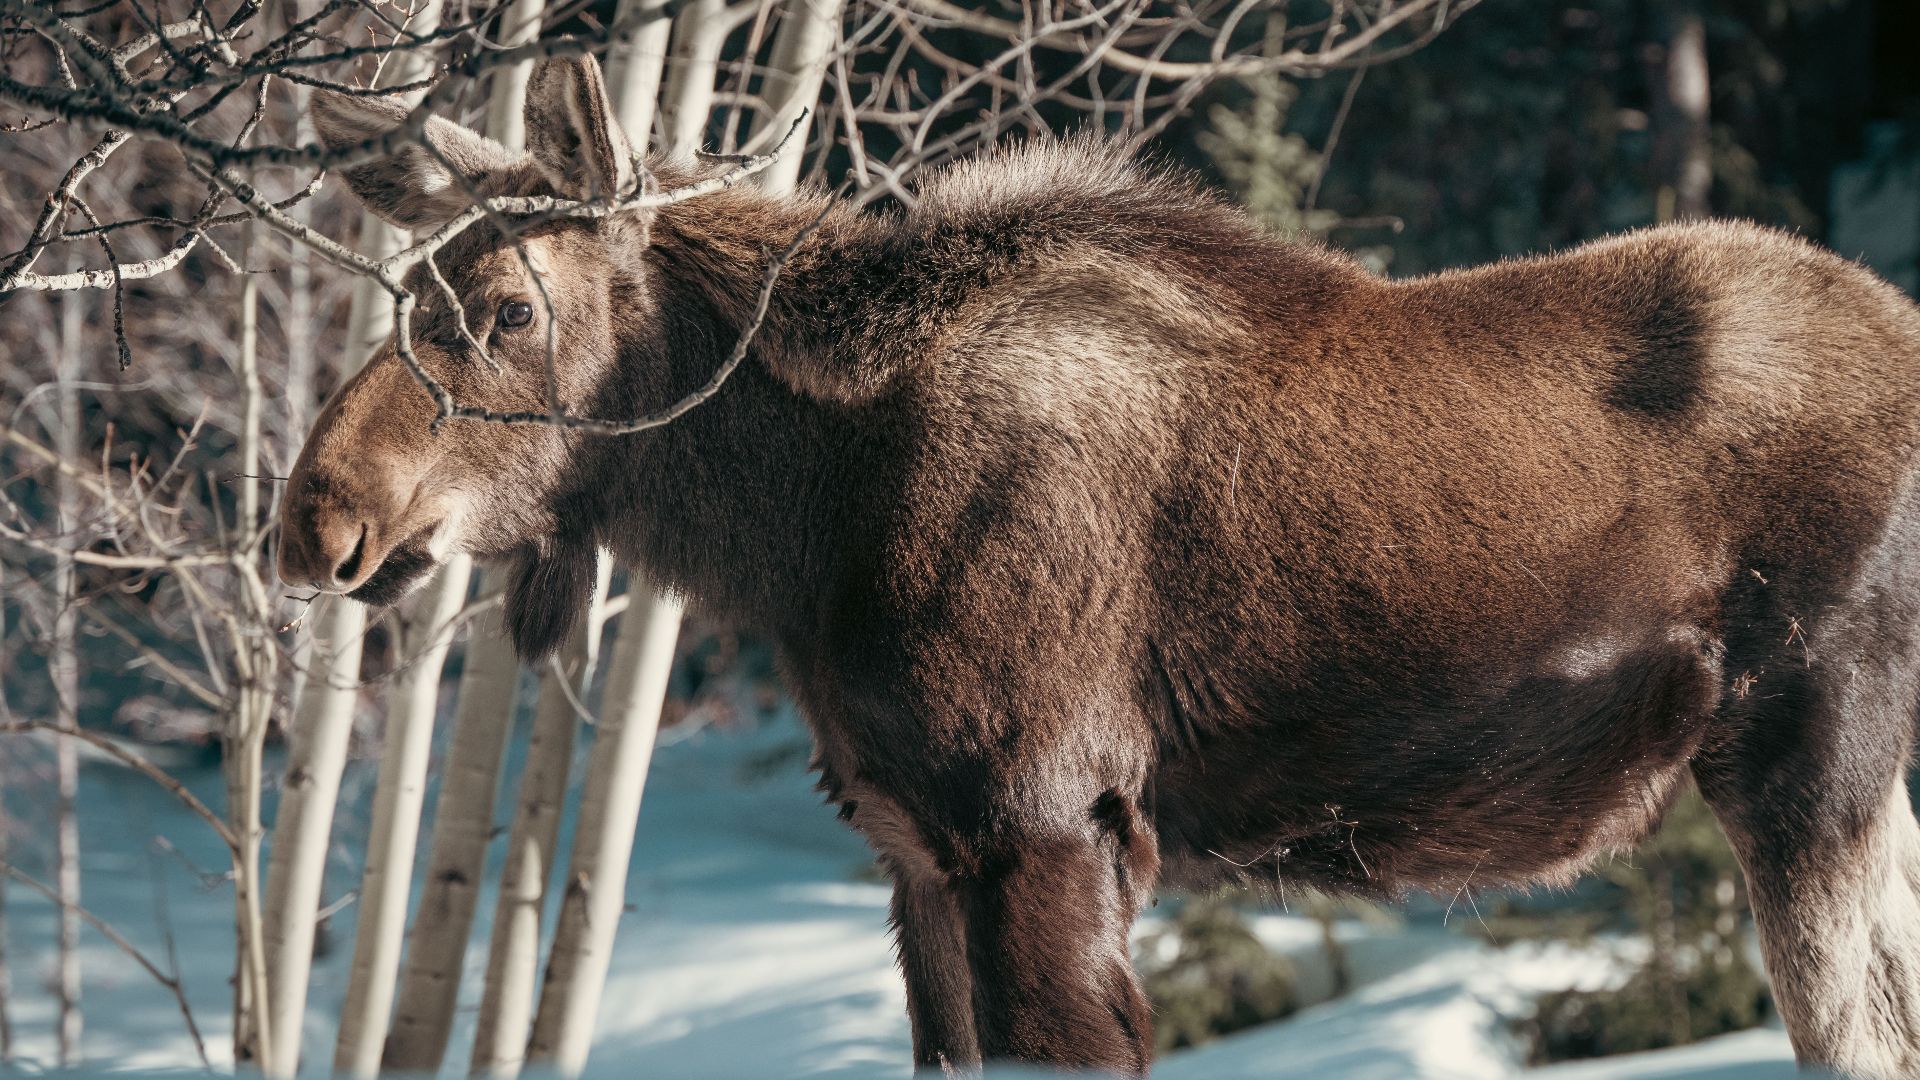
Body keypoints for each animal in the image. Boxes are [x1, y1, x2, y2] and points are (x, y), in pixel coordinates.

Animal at [278, 54, 1920, 1077]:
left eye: (504, 306)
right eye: (412, 285)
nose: (316, 515)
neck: (799, 531)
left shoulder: (1047, 821)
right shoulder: (916, 848)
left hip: (1809, 747)